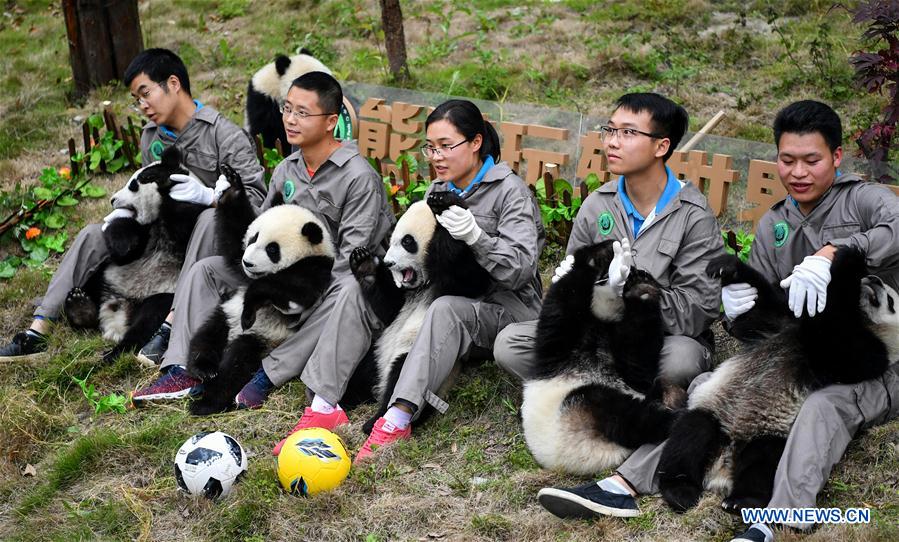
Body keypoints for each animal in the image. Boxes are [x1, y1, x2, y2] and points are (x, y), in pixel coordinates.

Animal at [63, 146, 207, 363]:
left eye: (133, 185)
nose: (112, 199)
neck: (156, 218)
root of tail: (119, 312)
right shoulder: (139, 235)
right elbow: (125, 249)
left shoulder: (189, 218)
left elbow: (183, 220)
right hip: (108, 276)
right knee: (93, 285)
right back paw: (80, 306)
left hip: (162, 293)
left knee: (147, 321)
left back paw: (115, 352)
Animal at [185, 166, 335, 415]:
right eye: (253, 238)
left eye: (272, 249)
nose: (248, 263)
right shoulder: (241, 259)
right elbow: (235, 239)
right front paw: (232, 186)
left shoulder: (315, 270)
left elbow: (294, 291)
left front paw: (251, 305)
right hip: (226, 314)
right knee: (207, 335)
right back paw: (203, 368)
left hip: (264, 338)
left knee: (237, 364)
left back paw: (207, 402)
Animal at [349, 191, 493, 434]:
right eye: (391, 240)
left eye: (407, 242)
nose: (388, 262)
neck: (423, 284)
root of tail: (379, 384)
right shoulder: (402, 295)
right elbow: (389, 307)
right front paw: (364, 263)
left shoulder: (457, 283)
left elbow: (470, 278)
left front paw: (445, 204)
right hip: (375, 353)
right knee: (359, 374)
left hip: (418, 358)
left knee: (400, 378)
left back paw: (374, 421)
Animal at [520, 240, 678, 475]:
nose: (637, 271)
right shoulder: (559, 347)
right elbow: (563, 298)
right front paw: (598, 256)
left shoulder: (624, 359)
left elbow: (638, 351)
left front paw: (643, 290)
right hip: (575, 416)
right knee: (623, 415)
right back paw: (673, 416)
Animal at [657, 247, 899, 514]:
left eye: (891, 302)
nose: (873, 280)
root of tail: (721, 468)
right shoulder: (781, 323)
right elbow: (759, 312)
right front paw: (725, 267)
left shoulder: (868, 353)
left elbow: (840, 344)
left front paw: (846, 262)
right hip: (715, 413)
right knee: (690, 435)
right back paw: (681, 491)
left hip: (770, 430)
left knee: (763, 461)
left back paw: (742, 501)